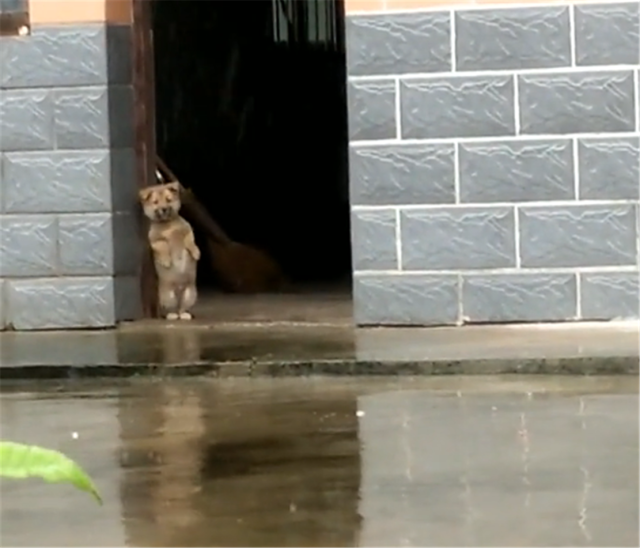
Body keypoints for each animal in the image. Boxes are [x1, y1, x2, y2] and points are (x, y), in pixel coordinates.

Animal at [139, 183, 200, 322]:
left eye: (168, 200)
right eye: (155, 202)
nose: (164, 209)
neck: (168, 224)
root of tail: (179, 291)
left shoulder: (187, 231)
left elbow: (190, 242)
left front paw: (196, 253)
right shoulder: (155, 240)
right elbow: (163, 247)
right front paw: (166, 261)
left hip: (190, 295)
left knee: (182, 308)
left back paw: (184, 315)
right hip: (167, 297)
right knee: (172, 310)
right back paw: (172, 315)